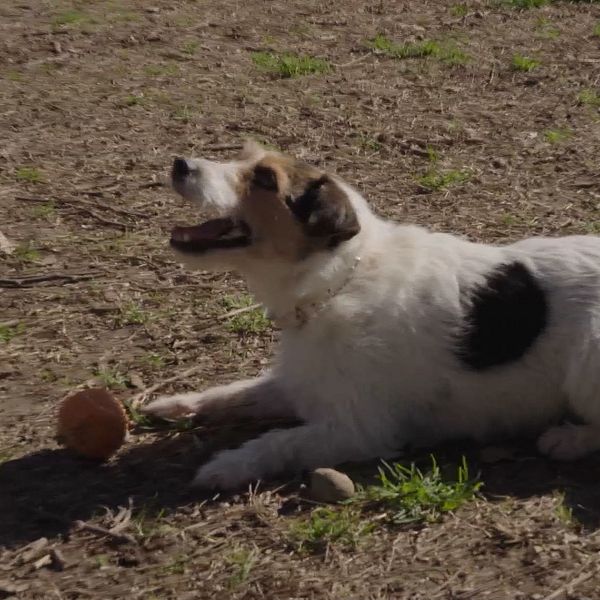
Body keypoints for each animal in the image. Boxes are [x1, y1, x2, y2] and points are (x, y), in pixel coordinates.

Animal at [144, 143, 600, 490]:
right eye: (245, 156)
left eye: (266, 180)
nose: (180, 164)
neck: (340, 278)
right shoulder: (301, 383)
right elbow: (235, 392)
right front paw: (177, 403)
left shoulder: (357, 429)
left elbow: (277, 441)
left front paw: (226, 466)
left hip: (587, 363)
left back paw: (569, 439)